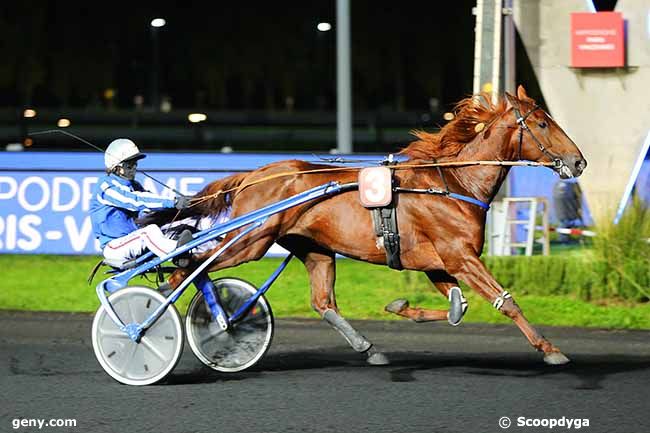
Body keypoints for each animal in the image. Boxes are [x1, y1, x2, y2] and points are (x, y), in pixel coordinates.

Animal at [153, 86, 588, 366]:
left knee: (323, 302)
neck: (455, 184)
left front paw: (402, 307)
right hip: (251, 241)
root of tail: (253, 175)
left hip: (314, 249)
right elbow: (505, 301)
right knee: (189, 267)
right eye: (543, 124)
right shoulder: (461, 258)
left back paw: (368, 348)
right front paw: (551, 350)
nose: (579, 162)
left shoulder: (438, 264)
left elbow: (456, 308)